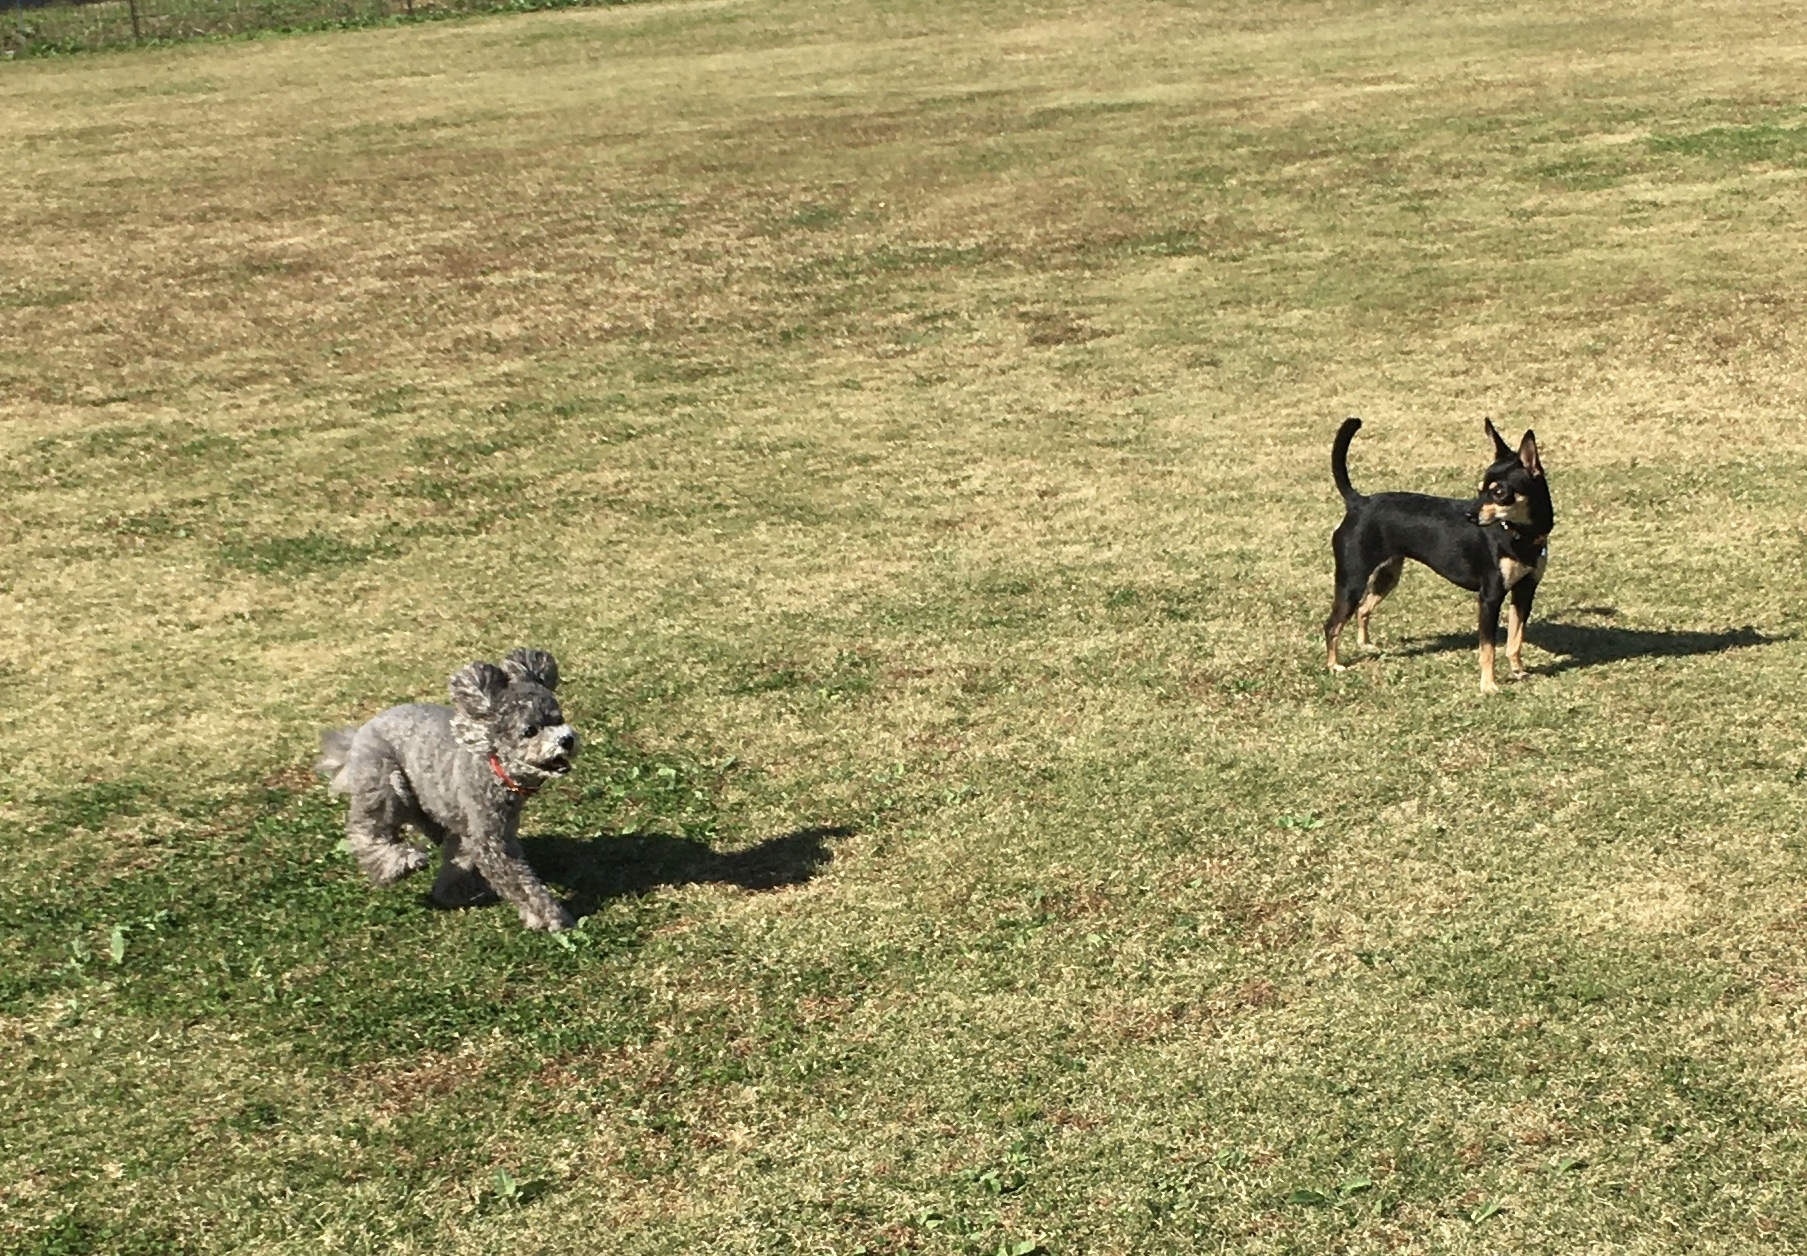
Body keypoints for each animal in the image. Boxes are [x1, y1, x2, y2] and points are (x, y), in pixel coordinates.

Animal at [316, 648, 578, 931]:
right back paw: (400, 864)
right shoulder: (491, 841)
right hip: (385, 781)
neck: (492, 764)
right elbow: (522, 883)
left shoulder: (474, 830)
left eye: (558, 719)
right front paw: (552, 918)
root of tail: (356, 737)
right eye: (530, 730)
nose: (567, 740)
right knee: (368, 832)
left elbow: (458, 860)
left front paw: (451, 893)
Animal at [1324, 417, 1553, 693]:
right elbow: (1488, 648)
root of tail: (1359, 502)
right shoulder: (1490, 597)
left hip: (1387, 575)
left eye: (1499, 493)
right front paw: (1488, 685)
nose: (1470, 515)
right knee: (1332, 624)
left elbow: (1515, 638)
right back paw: (1333, 665)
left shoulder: (1525, 591)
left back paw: (1365, 645)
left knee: (1363, 609)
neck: (1520, 535)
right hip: (1352, 580)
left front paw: (1518, 671)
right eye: (1479, 490)